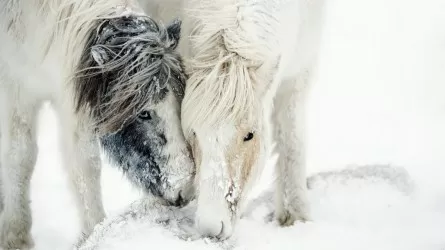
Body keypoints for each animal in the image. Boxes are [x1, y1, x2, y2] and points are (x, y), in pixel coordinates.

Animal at [0, 0, 194, 248]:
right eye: (144, 114)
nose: (185, 189)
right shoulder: (17, 90)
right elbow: (21, 156)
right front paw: (15, 235)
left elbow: (85, 165)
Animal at [143, 0, 326, 238]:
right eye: (193, 133)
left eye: (250, 135)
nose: (211, 228)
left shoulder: (298, 75)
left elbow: (292, 144)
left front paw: (296, 217)